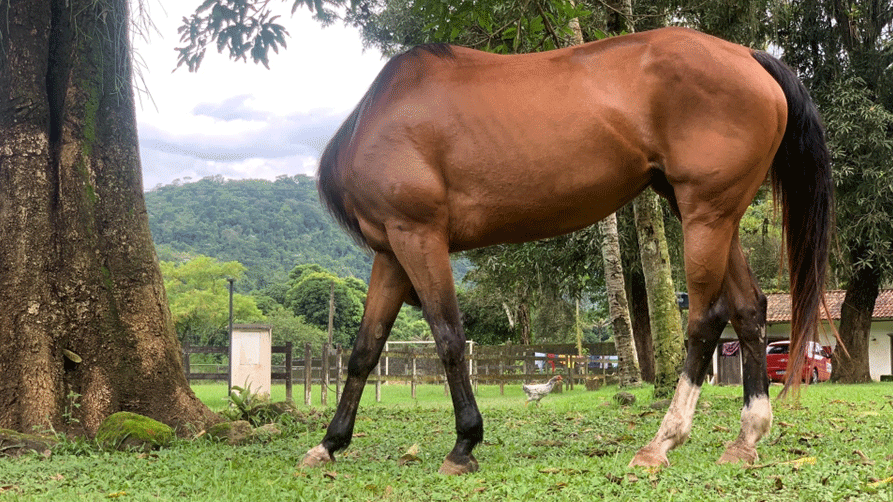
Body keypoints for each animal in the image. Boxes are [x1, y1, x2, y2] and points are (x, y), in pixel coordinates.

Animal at [302, 26, 832, 474]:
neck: (381, 119)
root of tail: (748, 56)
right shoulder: (391, 251)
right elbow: (365, 350)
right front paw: (329, 444)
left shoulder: (418, 236)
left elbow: (449, 338)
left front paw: (464, 444)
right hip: (714, 216)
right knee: (748, 309)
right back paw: (746, 438)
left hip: (706, 215)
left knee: (705, 318)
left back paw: (661, 442)